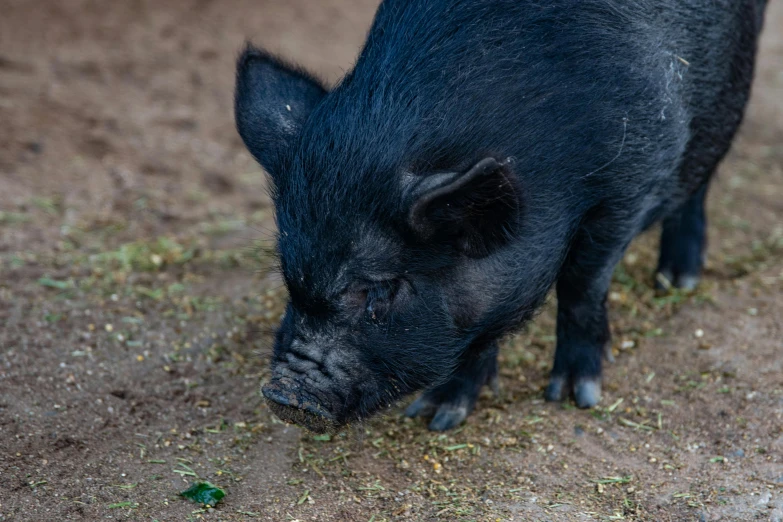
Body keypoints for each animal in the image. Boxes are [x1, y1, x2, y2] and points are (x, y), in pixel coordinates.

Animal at [236, 0, 768, 430]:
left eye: (380, 289)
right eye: (290, 277)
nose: (284, 395)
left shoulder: (633, 176)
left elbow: (582, 284)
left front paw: (573, 397)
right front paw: (435, 417)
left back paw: (678, 280)